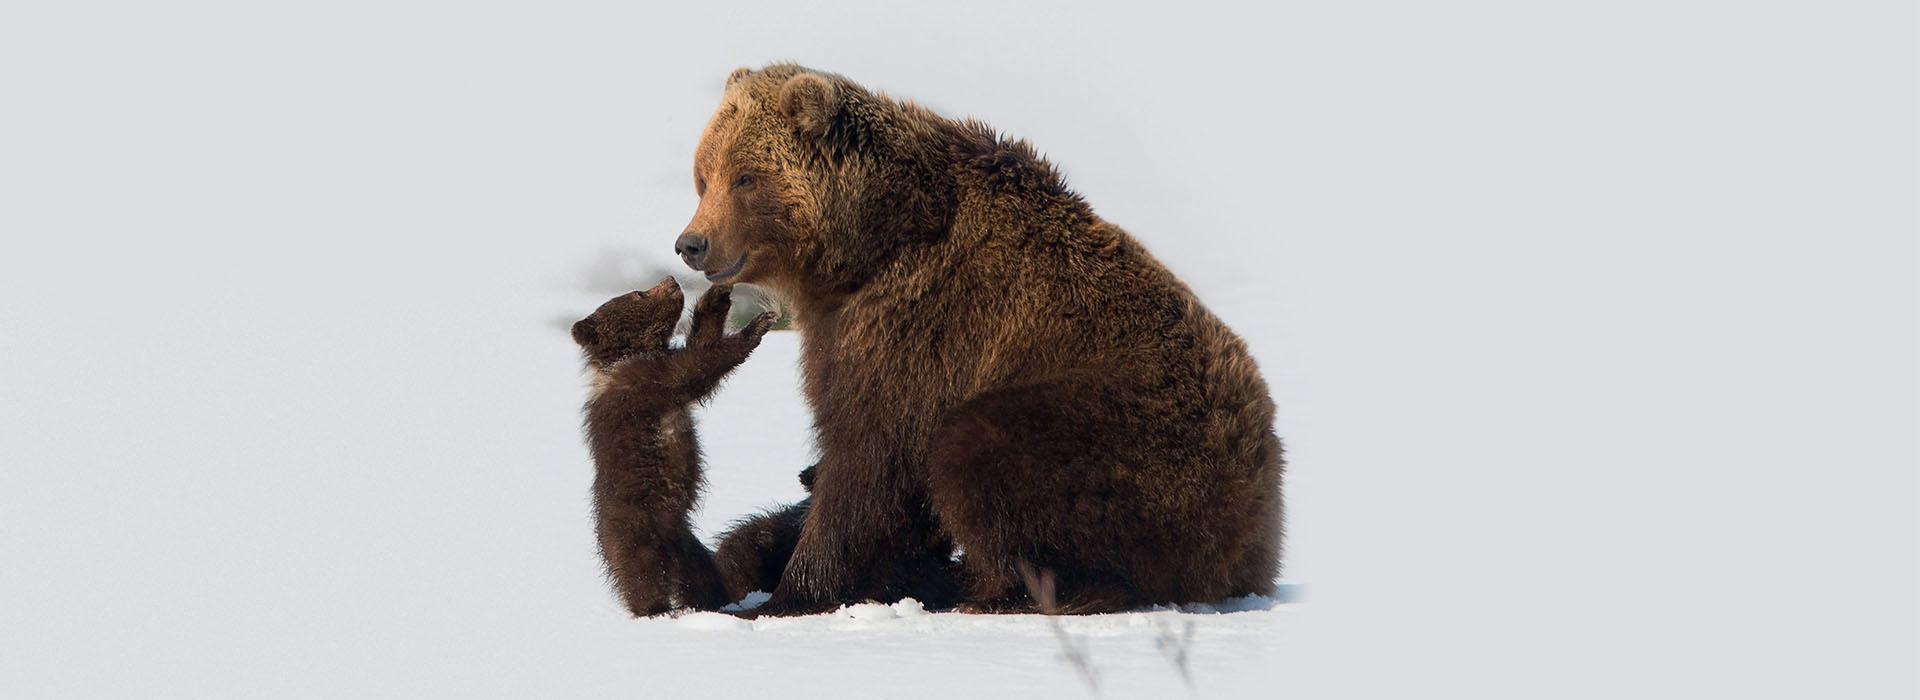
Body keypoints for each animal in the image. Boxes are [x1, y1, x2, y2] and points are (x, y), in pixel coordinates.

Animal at [568, 276, 779, 613]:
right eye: (638, 293)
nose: (671, 280)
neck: (627, 356)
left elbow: (701, 343)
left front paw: (716, 296)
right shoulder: (646, 384)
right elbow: (697, 367)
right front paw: (757, 325)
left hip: (686, 545)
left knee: (701, 576)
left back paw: (712, 602)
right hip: (636, 528)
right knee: (641, 575)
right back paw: (655, 608)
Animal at [668, 62, 1282, 613]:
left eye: (746, 177)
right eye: (703, 175)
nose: (692, 243)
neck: (864, 248)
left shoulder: (920, 324)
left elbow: (869, 455)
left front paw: (785, 595)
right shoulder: (842, 323)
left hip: (1129, 436)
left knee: (978, 451)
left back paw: (1003, 593)